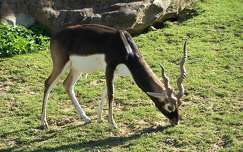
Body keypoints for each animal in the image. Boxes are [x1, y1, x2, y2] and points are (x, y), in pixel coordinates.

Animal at [39, 23, 188, 128]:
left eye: (180, 104)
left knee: (67, 85)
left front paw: (100, 118)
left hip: (76, 69)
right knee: (48, 83)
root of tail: (54, 37)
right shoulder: (109, 67)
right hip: (60, 65)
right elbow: (111, 94)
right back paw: (44, 123)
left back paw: (85, 118)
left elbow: (105, 92)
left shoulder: (114, 72)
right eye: (169, 106)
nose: (176, 121)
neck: (126, 49)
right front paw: (112, 123)